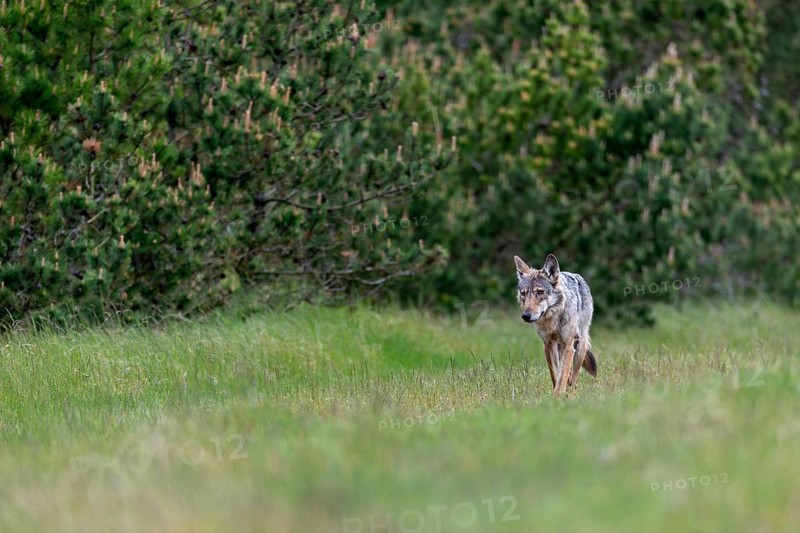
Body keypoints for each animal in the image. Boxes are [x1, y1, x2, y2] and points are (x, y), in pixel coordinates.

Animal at [514, 254, 597, 394]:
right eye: (524, 293)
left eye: (540, 292)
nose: (525, 316)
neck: (552, 320)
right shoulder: (548, 345)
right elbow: (556, 375)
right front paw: (556, 395)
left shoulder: (568, 345)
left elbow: (562, 376)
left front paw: (558, 395)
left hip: (579, 348)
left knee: (574, 378)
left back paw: (571, 393)